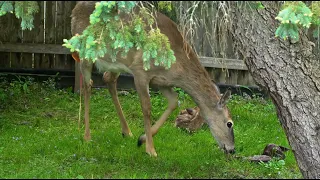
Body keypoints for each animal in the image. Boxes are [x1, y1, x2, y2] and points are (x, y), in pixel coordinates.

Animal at [70, 1, 235, 156]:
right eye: (229, 123)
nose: (232, 150)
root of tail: (74, 10)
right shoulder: (140, 71)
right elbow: (147, 108)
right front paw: (150, 149)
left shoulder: (163, 81)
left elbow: (174, 101)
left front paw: (141, 139)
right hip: (85, 51)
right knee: (87, 85)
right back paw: (87, 136)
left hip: (116, 63)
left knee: (107, 79)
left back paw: (127, 131)